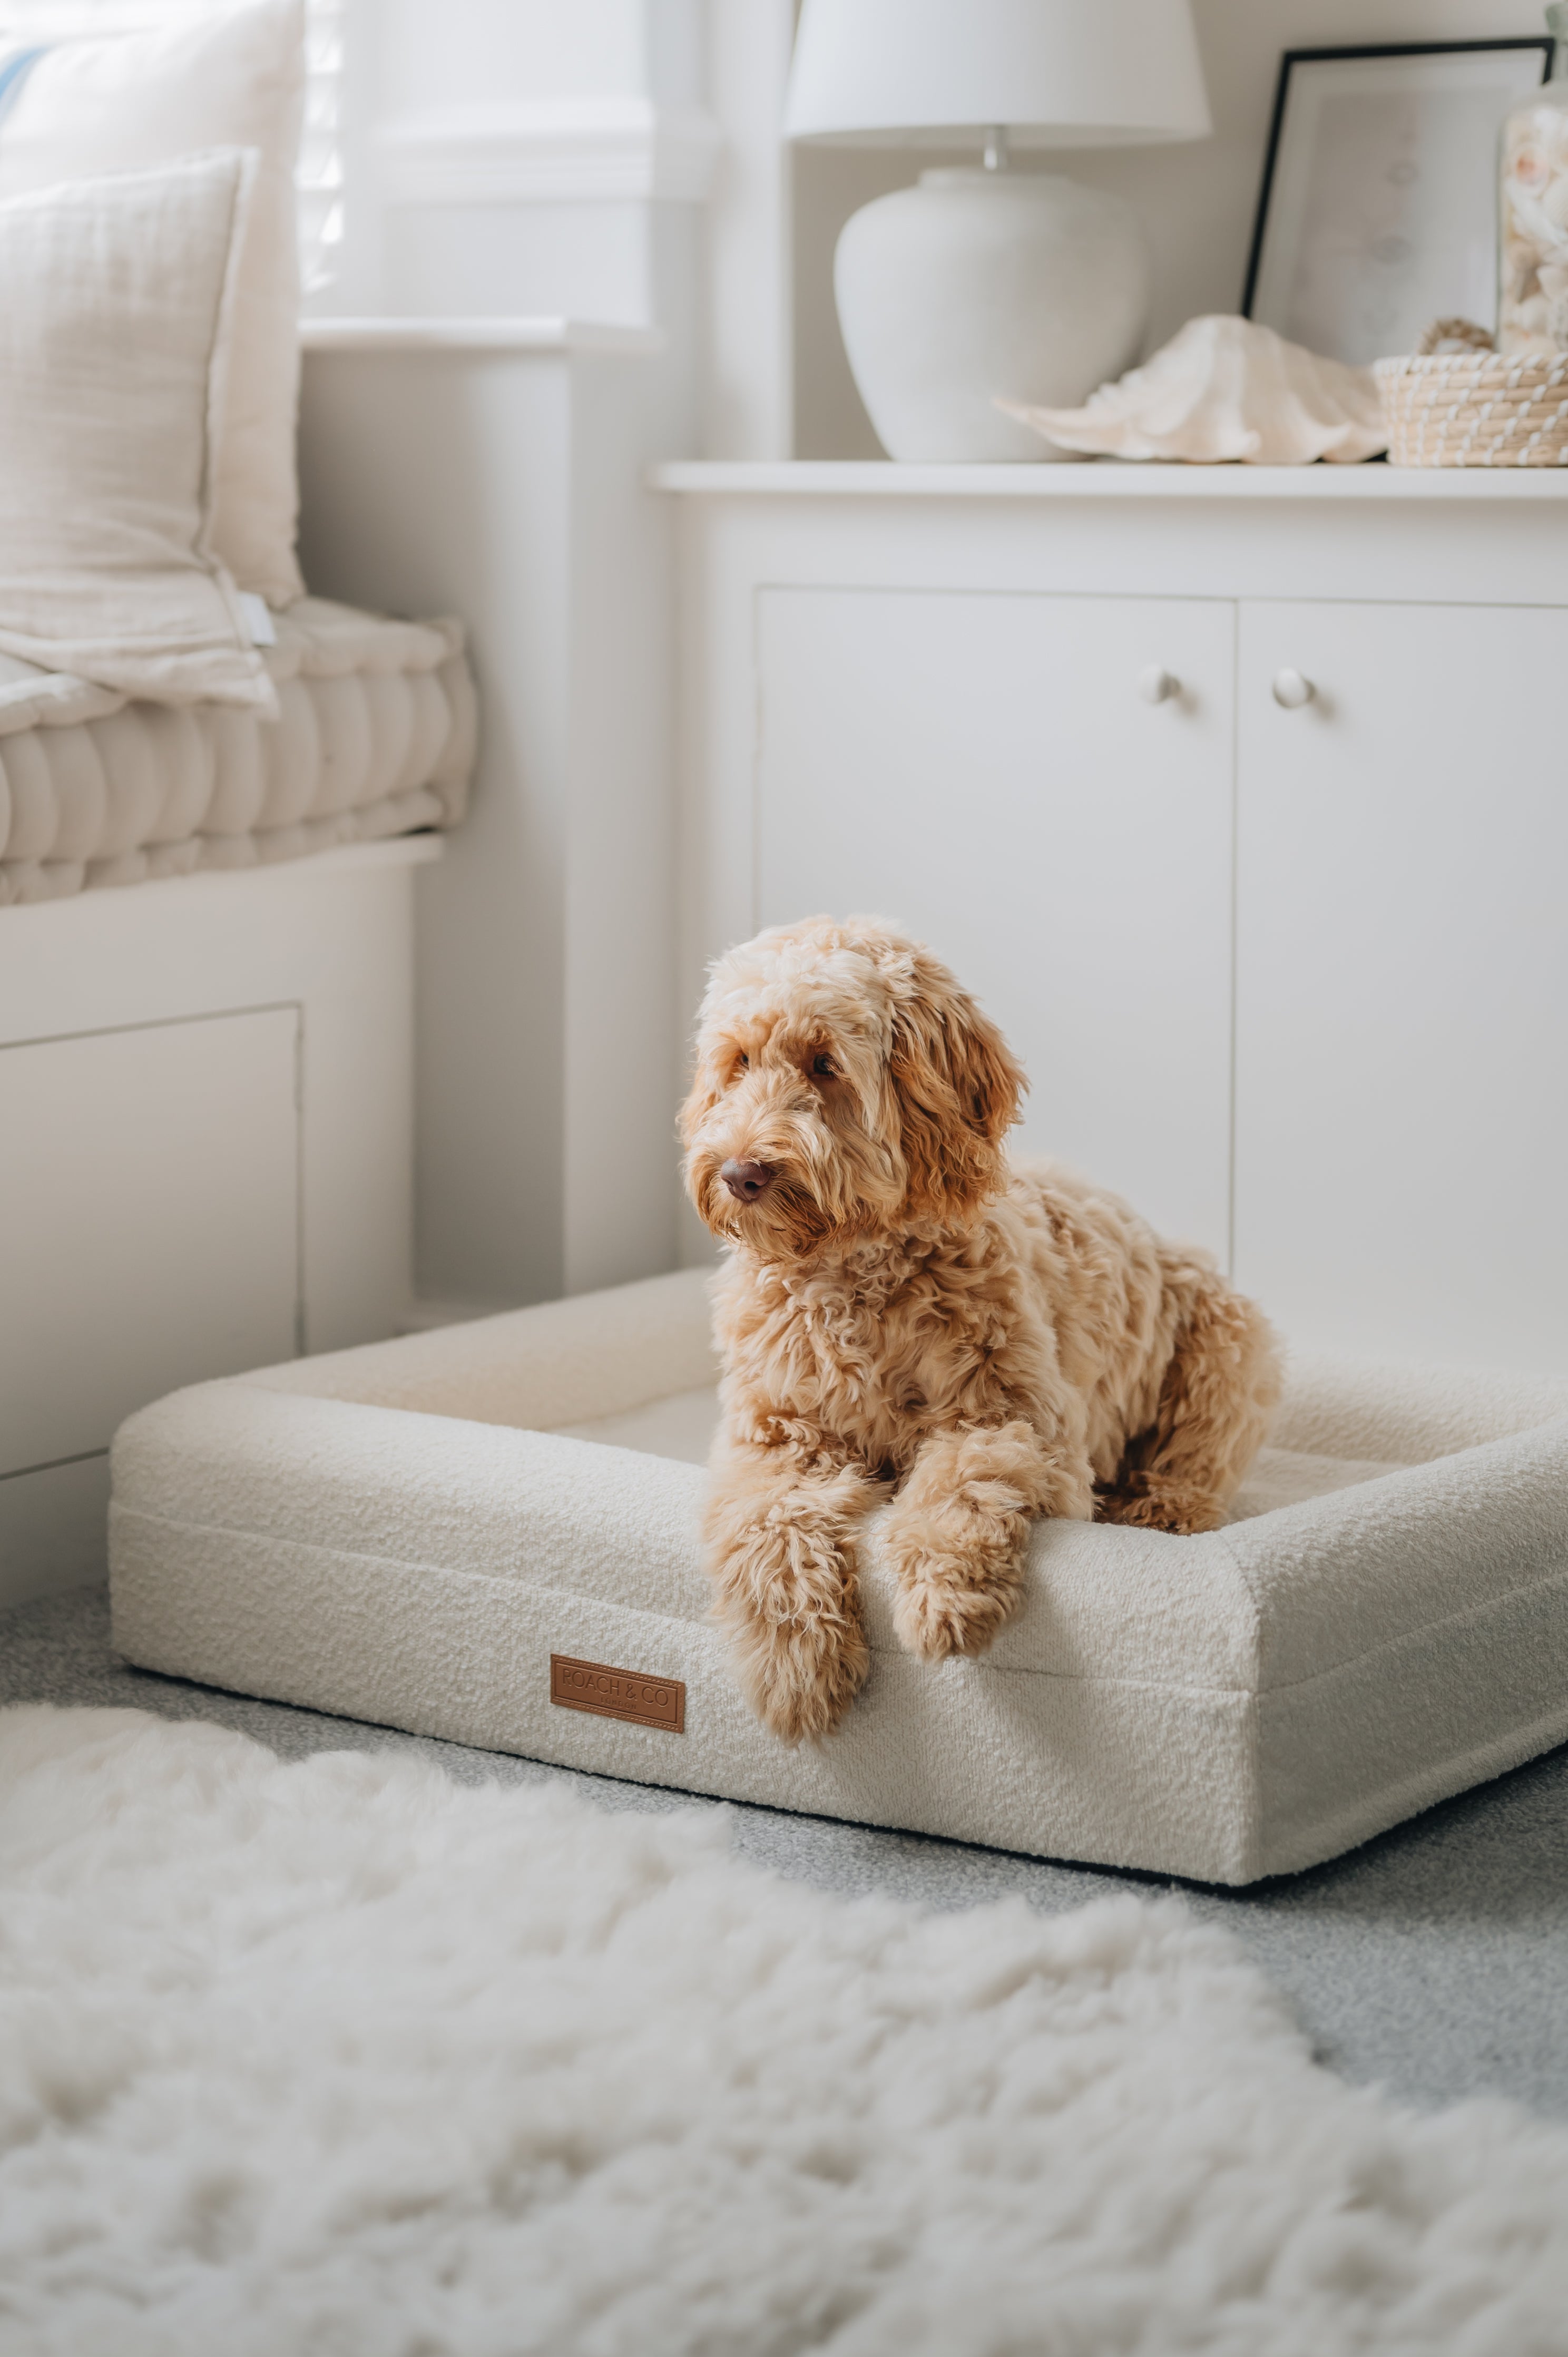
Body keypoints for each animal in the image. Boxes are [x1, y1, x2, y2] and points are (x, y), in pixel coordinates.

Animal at [679, 909, 1282, 1744]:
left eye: (825, 1064)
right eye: (737, 1063)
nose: (741, 1173)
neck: (854, 1276)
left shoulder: (1025, 1425)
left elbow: (962, 1477)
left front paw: (943, 1594)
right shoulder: (772, 1440)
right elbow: (768, 1524)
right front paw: (795, 1670)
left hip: (1228, 1340)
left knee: (1202, 1459)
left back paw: (1162, 1507)